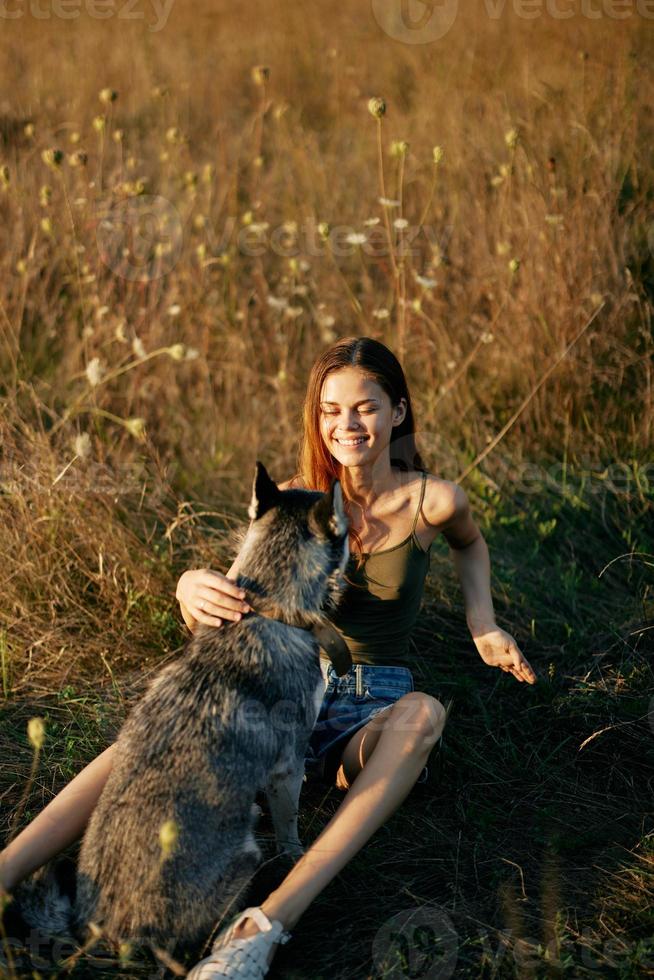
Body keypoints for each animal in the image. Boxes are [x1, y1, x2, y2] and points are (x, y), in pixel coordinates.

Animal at [6, 466, 354, 964]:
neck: (268, 609)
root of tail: (97, 929)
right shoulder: (287, 770)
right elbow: (290, 829)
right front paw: (295, 855)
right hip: (245, 852)